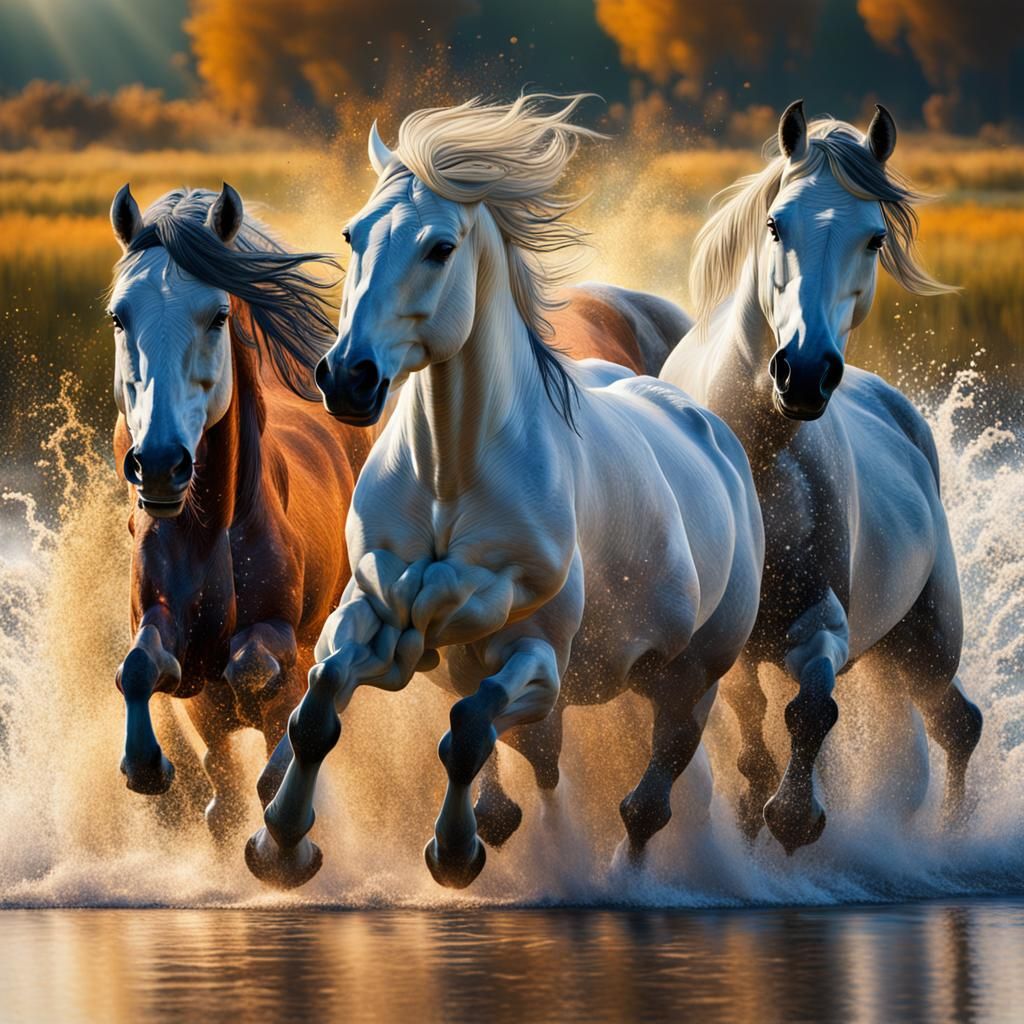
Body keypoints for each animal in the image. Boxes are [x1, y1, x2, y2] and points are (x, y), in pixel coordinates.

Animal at [108, 183, 369, 838]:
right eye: (120, 316)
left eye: (218, 316)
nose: (160, 463)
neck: (209, 535)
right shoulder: (155, 617)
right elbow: (140, 667)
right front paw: (147, 765)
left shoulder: (280, 632)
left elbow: (258, 673)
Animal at [244, 94, 764, 890]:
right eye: (353, 234)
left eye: (439, 248)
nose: (347, 378)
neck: (450, 482)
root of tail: (708, 430)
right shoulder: (372, 618)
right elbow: (318, 708)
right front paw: (281, 846)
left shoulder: (538, 664)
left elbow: (466, 733)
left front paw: (454, 854)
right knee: (552, 769)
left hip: (689, 685)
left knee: (646, 800)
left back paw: (622, 876)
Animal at [660, 101, 983, 853]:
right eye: (777, 225)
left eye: (873, 238)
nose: (803, 371)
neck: (754, 458)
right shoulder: (733, 647)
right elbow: (754, 739)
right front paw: (759, 816)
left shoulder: (822, 628)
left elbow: (810, 715)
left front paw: (796, 820)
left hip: (927, 643)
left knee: (957, 726)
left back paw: (952, 842)